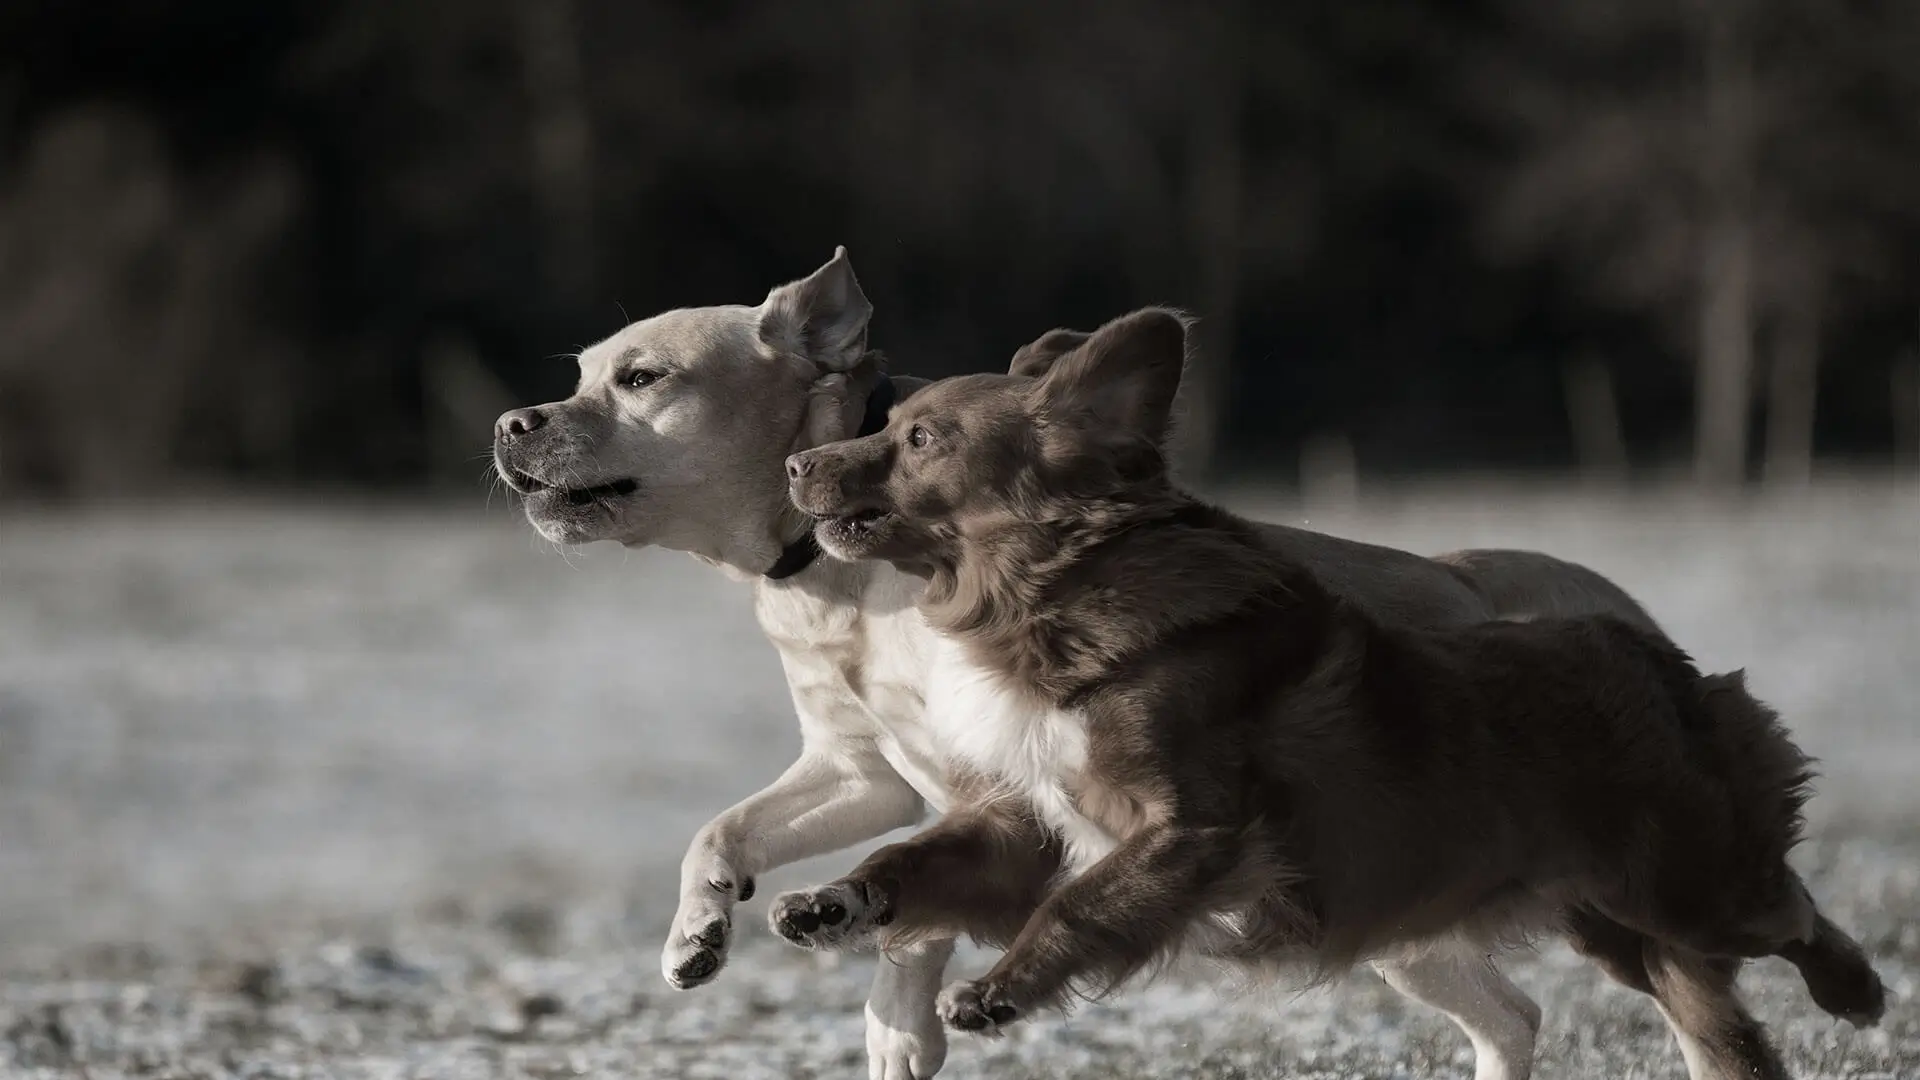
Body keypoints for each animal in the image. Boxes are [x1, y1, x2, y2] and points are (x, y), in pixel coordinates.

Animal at [783, 305, 1889, 1076]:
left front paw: (997, 991)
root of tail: (1660, 657)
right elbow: (924, 858)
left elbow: (1079, 908)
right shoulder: (1036, 820)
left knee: (1791, 908)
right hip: (1614, 918)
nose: (796, 463)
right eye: (894, 424)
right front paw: (833, 903)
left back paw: (1860, 991)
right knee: (1723, 1006)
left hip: (1684, 886)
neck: (1053, 595)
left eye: (922, 439)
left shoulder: (1192, 831)